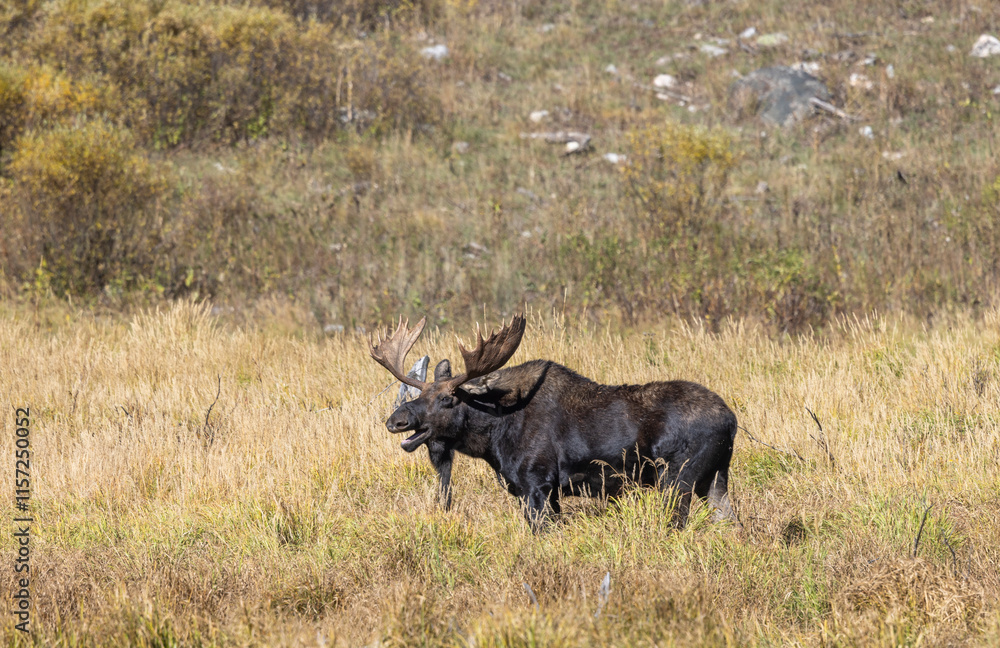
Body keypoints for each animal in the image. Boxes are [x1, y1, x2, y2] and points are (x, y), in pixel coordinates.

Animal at [369, 314, 737, 531]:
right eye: (420, 394)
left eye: (447, 399)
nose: (396, 421)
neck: (493, 436)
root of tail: (731, 420)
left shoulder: (537, 485)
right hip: (716, 478)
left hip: (677, 479)